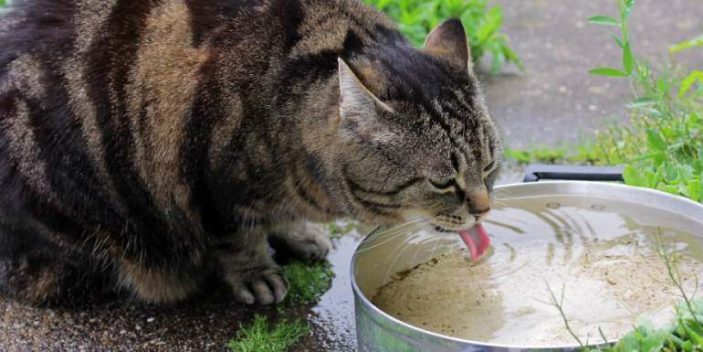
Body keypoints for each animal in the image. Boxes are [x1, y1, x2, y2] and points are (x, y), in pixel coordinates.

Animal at [0, 0, 504, 304]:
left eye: (490, 165)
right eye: (442, 181)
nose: (484, 208)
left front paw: (296, 233)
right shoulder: (207, 181)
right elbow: (236, 235)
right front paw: (256, 271)